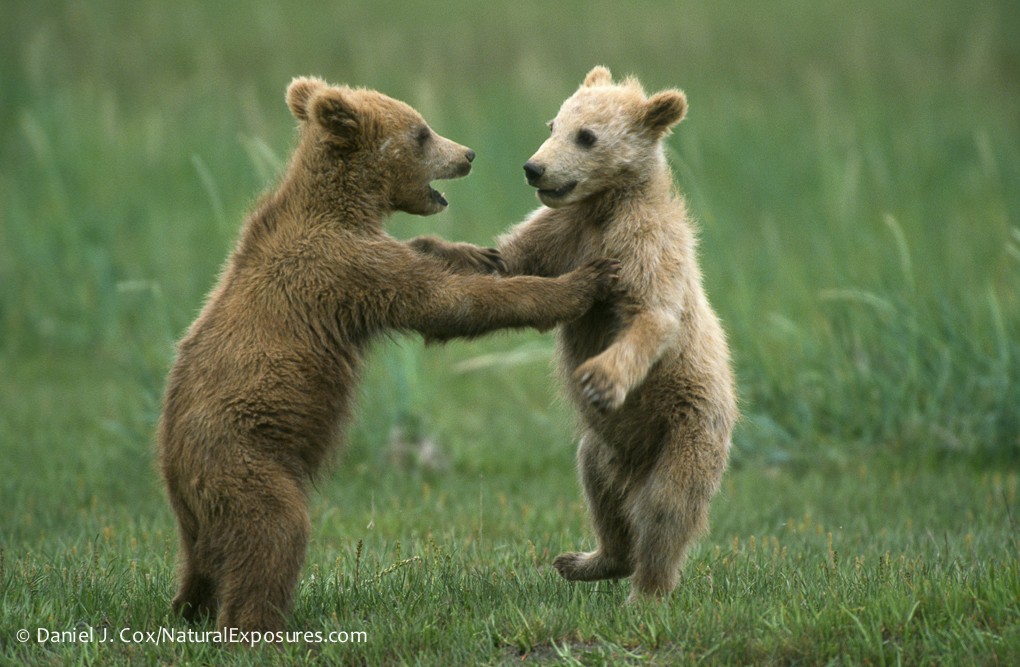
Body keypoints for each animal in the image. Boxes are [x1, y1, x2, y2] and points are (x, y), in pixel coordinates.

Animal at [157, 75, 621, 633]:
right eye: (421, 132)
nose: (467, 154)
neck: (346, 207)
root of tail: (171, 465)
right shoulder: (345, 269)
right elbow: (447, 303)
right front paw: (583, 280)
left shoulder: (365, 255)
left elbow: (429, 259)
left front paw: (478, 253)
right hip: (244, 460)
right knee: (272, 534)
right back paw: (260, 625)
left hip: (200, 512)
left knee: (202, 568)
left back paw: (189, 608)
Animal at [494, 67, 738, 601]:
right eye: (553, 124)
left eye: (586, 136)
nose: (534, 168)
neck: (602, 207)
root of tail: (636, 466)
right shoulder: (560, 232)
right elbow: (505, 258)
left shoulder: (643, 243)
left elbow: (652, 316)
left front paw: (601, 379)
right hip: (601, 449)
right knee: (598, 490)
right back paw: (587, 560)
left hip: (688, 431)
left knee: (666, 510)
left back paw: (646, 592)